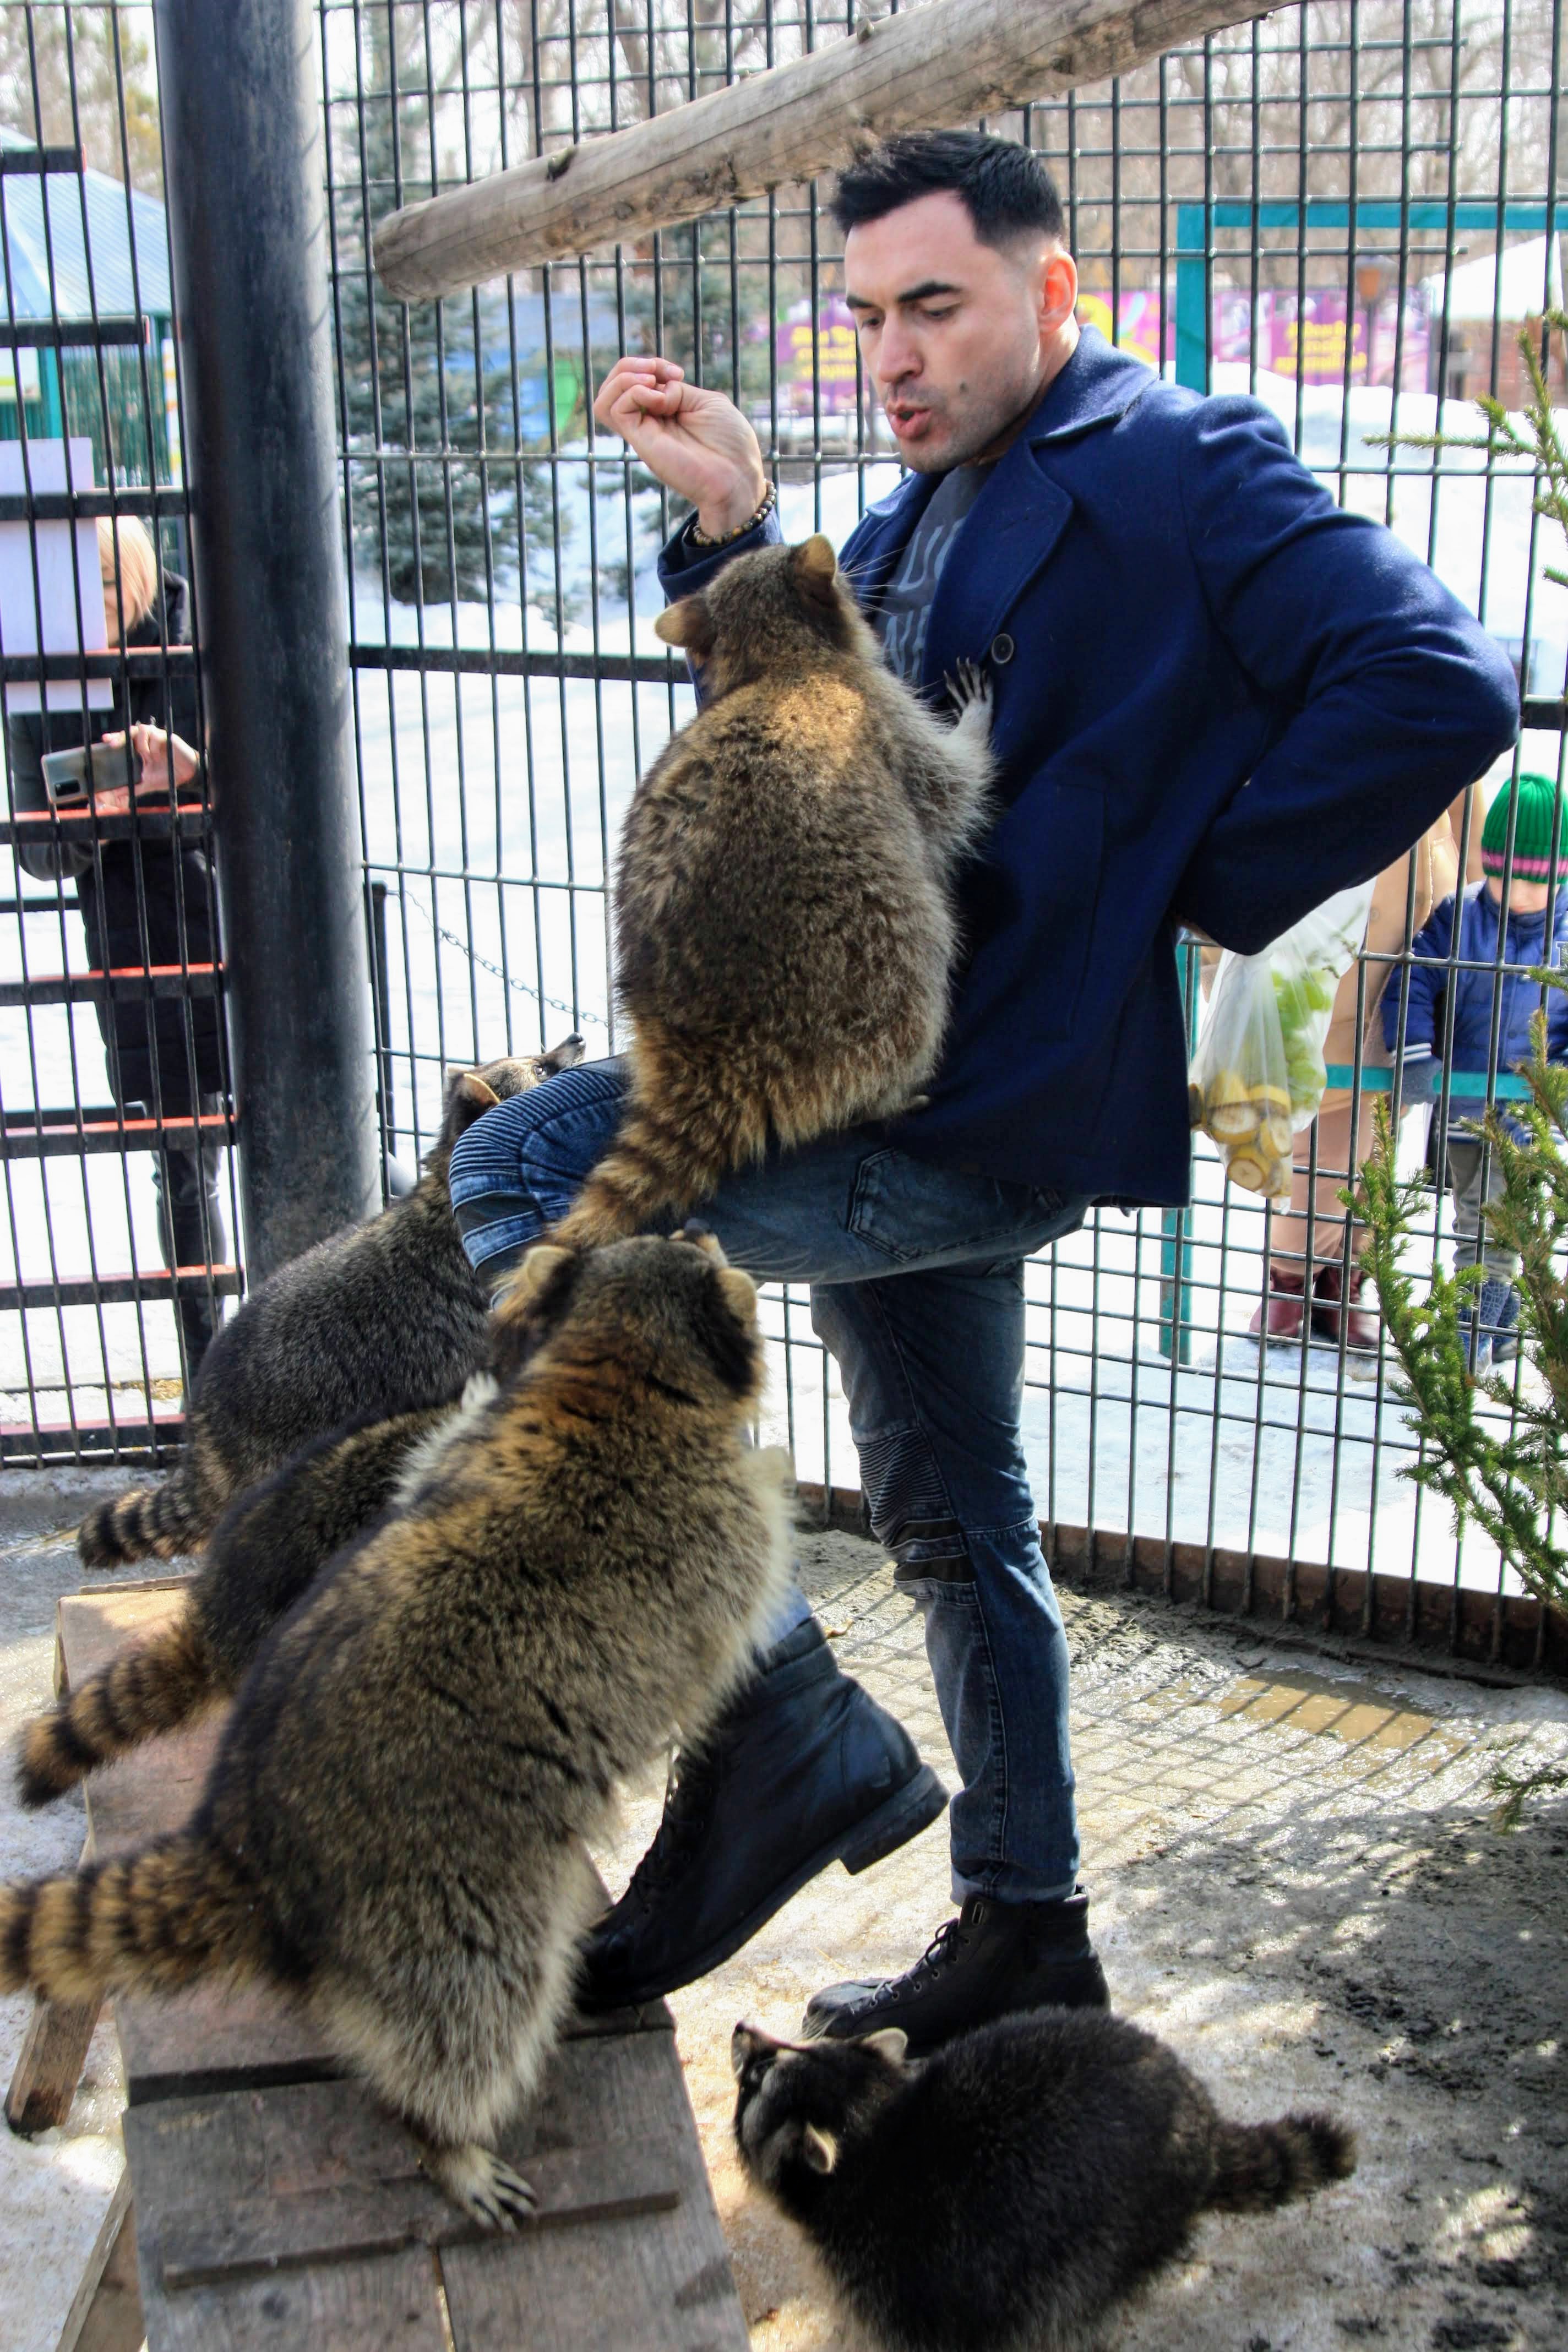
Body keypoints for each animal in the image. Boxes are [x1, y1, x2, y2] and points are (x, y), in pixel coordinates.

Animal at [3, 1229, 793, 2227]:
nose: (703, 1229)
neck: (612, 1361)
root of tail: (247, 1842)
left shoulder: (469, 1436)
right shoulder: (706, 1530)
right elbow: (723, 1625)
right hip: (441, 1898)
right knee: (470, 2013)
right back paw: (442, 2136)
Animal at [551, 535, 993, 1250]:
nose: (854, 568)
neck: (776, 656)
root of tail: (706, 1046)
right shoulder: (884, 718)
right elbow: (953, 790)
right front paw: (979, 725)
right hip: (870, 962)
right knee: (913, 980)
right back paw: (890, 1093)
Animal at [732, 2010, 1357, 2352]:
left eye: (756, 2078)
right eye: (794, 2044)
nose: (742, 2029)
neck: (879, 2131)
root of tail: (1202, 2122)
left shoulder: (907, 2275)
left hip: (1113, 2230)